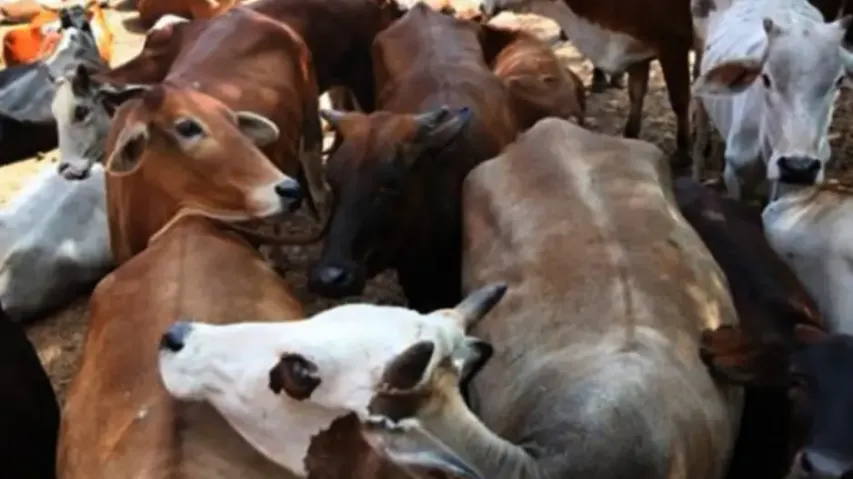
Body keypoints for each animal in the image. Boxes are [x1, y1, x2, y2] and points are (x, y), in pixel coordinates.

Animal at [480, 0, 696, 164]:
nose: (482, 6)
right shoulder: (636, 50)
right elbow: (636, 95)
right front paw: (630, 134)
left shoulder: (673, 44)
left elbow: (679, 100)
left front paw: (683, 153)